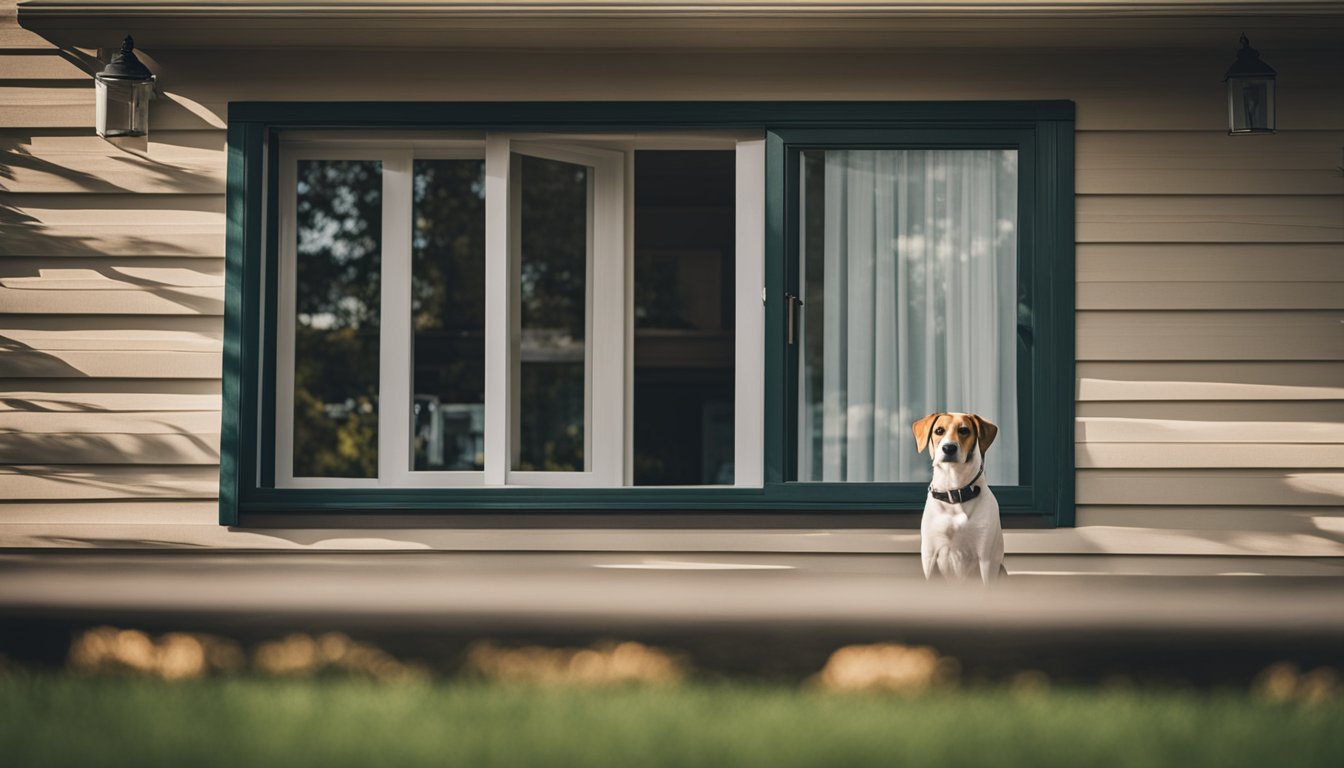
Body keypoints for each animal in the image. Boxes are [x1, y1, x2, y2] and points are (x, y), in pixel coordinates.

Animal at [908, 414, 1005, 583]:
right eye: (939, 430)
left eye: (964, 430)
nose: (949, 448)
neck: (955, 492)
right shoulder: (929, 556)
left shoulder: (987, 560)